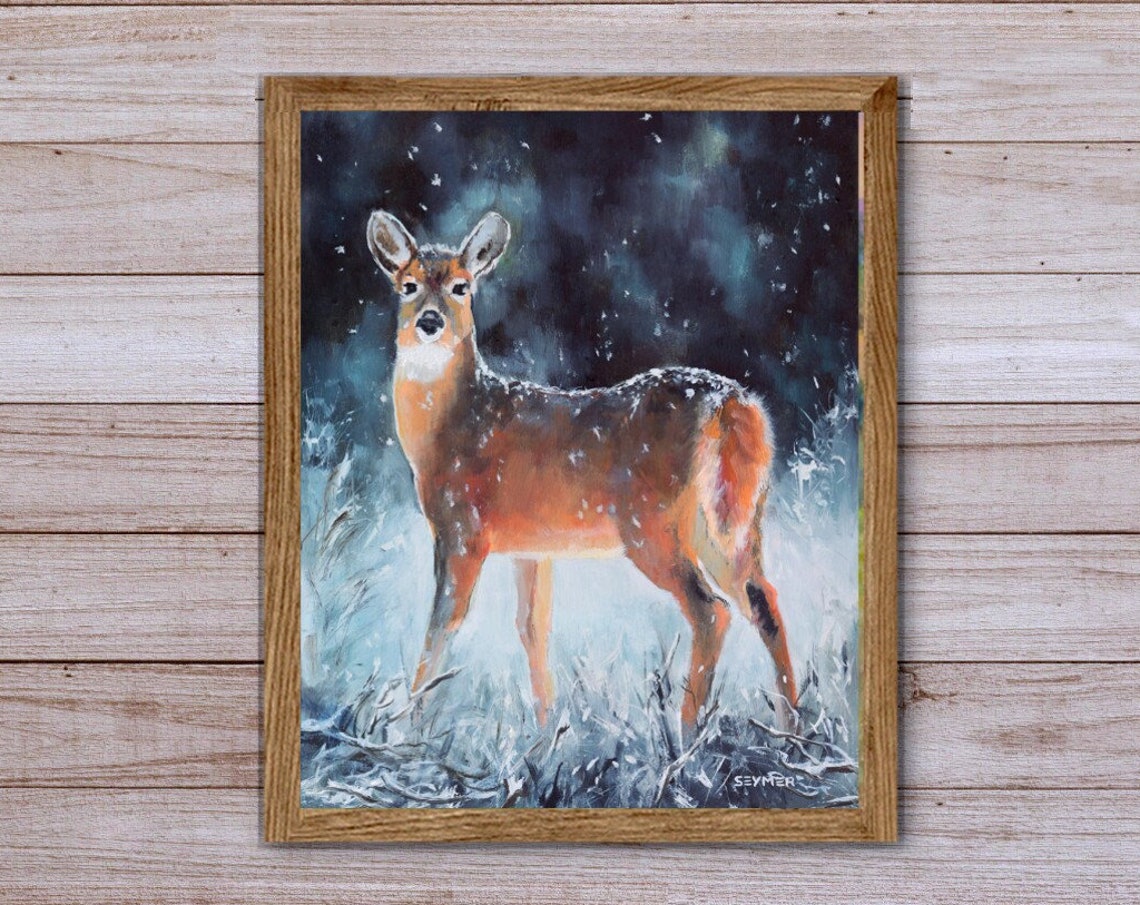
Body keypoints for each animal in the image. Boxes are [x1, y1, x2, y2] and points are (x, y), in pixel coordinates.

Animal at [367, 208, 798, 735]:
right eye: (407, 286)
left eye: (460, 287)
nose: (429, 321)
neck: (450, 428)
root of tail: (731, 404)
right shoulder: (531, 548)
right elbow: (532, 629)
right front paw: (546, 732)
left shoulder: (461, 529)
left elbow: (441, 627)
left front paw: (408, 729)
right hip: (731, 517)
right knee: (763, 599)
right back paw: (791, 727)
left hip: (650, 524)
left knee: (711, 610)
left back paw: (686, 731)